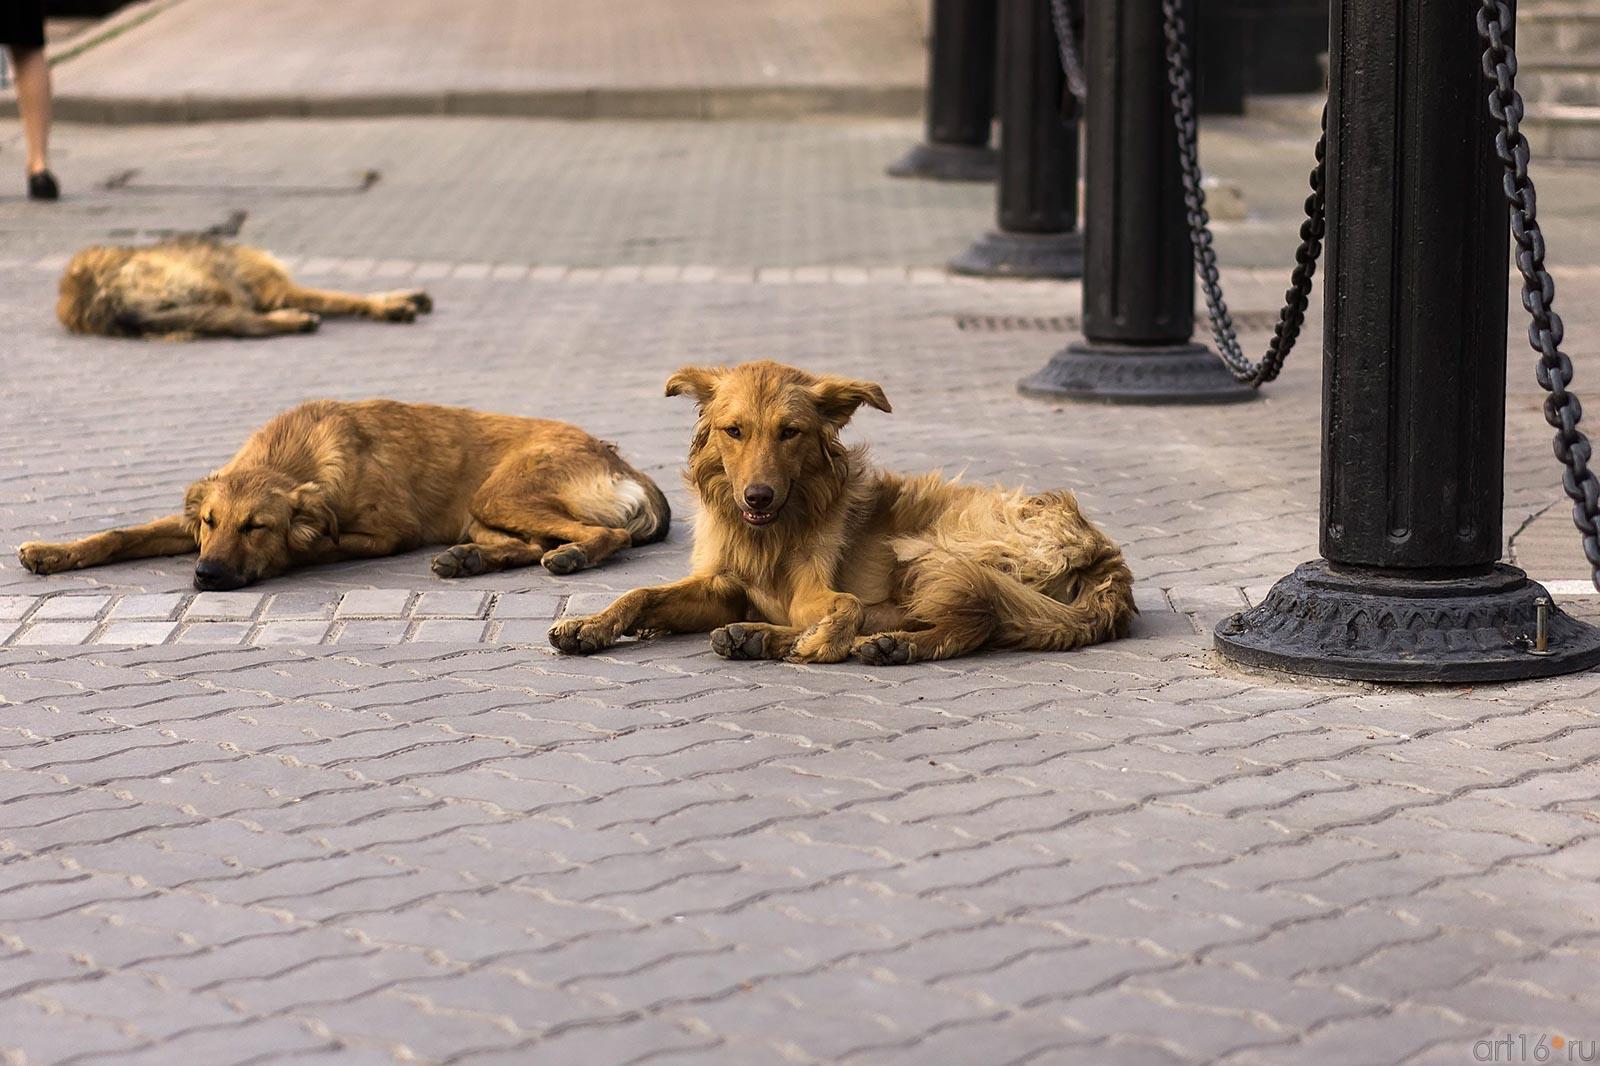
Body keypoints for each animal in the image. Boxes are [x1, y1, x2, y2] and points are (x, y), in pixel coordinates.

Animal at [18, 398, 668, 589]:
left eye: (256, 527)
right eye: (209, 522)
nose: (204, 576)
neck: (293, 452)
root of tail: (621, 459)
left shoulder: (386, 535)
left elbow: (309, 545)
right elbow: (119, 533)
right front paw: (53, 552)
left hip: (498, 493)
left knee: (601, 533)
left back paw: (573, 555)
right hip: (484, 511)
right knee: (528, 543)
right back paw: (470, 559)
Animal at [58, 236, 432, 340]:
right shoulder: (277, 289)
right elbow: (344, 296)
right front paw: (392, 305)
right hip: (217, 286)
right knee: (249, 323)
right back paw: (295, 320)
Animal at [550, 356, 1139, 659]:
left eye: (789, 432)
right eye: (734, 431)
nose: (756, 497)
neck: (771, 531)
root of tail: (1104, 553)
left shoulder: (814, 589)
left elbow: (846, 606)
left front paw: (823, 643)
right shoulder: (720, 587)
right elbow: (641, 593)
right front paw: (589, 625)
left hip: (936, 553)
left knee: (973, 621)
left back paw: (880, 645)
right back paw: (760, 637)